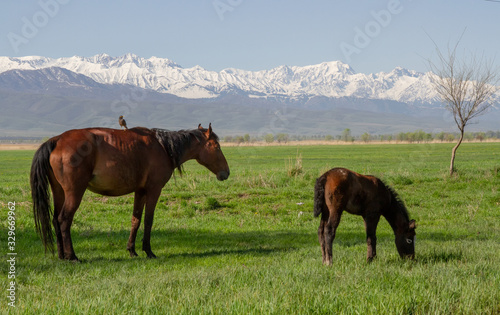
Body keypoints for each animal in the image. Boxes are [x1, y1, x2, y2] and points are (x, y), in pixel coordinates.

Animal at [32, 124, 231, 262]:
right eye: (216, 147)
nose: (226, 173)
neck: (163, 147)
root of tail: (58, 140)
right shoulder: (153, 190)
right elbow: (148, 220)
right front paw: (148, 251)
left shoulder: (140, 191)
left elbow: (136, 220)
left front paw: (132, 250)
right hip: (74, 193)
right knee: (64, 220)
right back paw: (72, 256)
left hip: (59, 191)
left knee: (55, 220)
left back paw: (61, 255)